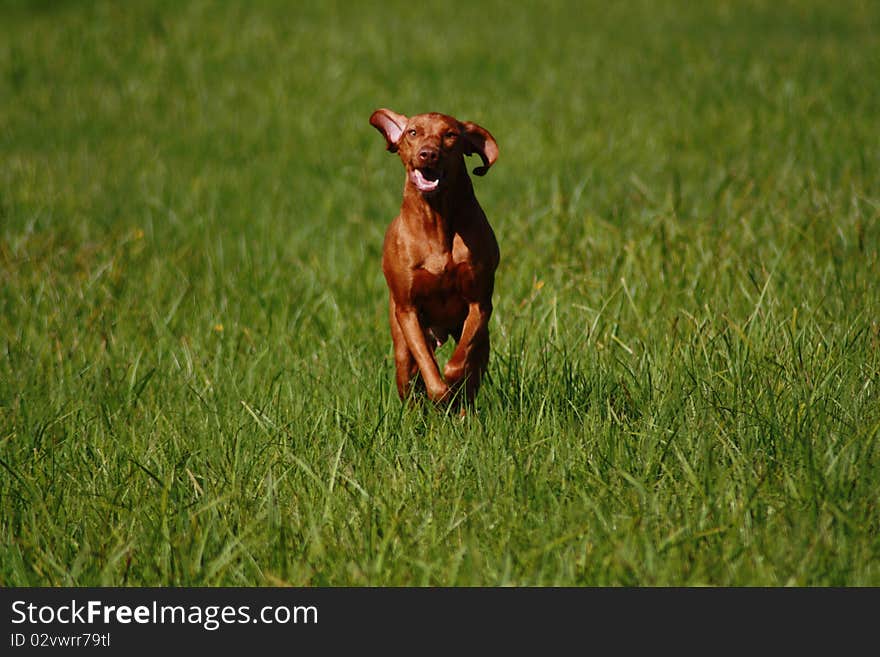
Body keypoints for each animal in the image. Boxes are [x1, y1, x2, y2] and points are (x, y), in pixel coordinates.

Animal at [368, 108, 498, 408]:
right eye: (413, 132)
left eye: (450, 135)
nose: (428, 154)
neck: (435, 221)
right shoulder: (408, 311)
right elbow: (428, 366)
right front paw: (440, 393)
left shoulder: (479, 305)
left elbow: (459, 362)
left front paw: (453, 382)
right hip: (401, 346)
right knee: (409, 376)